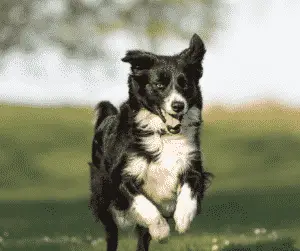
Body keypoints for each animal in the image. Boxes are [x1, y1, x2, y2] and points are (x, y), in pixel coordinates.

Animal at [88, 33, 212, 251]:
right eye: (159, 85)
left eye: (185, 84)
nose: (178, 105)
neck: (163, 134)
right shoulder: (121, 177)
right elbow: (146, 207)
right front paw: (161, 230)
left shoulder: (192, 164)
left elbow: (189, 189)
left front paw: (183, 218)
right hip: (102, 197)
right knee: (112, 233)